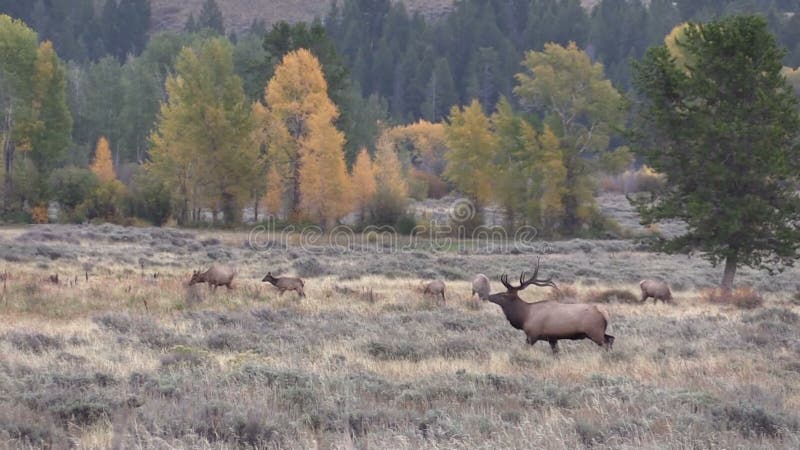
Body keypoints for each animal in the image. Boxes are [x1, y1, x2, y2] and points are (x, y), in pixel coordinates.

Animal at [484, 260, 616, 356]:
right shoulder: (552, 338)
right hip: (599, 332)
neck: (524, 317)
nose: (489, 296)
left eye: (503, 295)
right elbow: (556, 353)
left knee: (606, 343)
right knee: (611, 338)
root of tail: (605, 312)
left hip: (594, 332)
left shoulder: (532, 335)